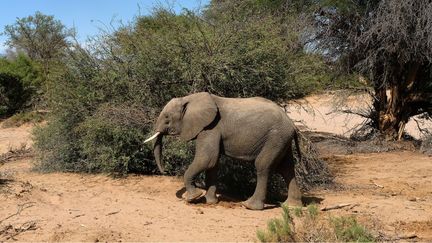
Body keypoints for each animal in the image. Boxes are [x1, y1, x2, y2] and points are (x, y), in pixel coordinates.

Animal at [144, 92, 300, 210]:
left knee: (263, 166)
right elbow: (213, 164)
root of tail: (292, 123)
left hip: (275, 138)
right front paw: (210, 202)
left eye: (167, 118)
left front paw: (193, 198)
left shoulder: (210, 128)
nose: (165, 171)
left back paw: (249, 206)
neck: (189, 98)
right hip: (281, 139)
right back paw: (291, 206)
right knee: (286, 169)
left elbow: (206, 159)